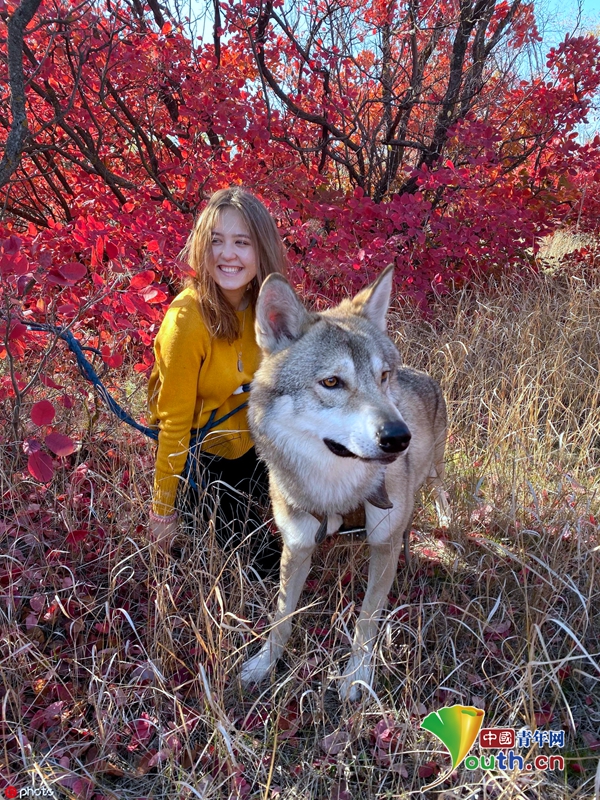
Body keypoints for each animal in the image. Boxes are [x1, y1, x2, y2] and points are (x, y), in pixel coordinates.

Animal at [239, 264, 450, 700]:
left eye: (382, 376)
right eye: (332, 382)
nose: (398, 437)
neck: (336, 491)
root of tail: (421, 372)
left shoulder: (383, 546)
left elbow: (366, 621)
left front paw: (355, 678)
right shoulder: (297, 546)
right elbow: (280, 617)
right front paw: (263, 665)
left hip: (436, 466)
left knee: (440, 490)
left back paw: (444, 519)